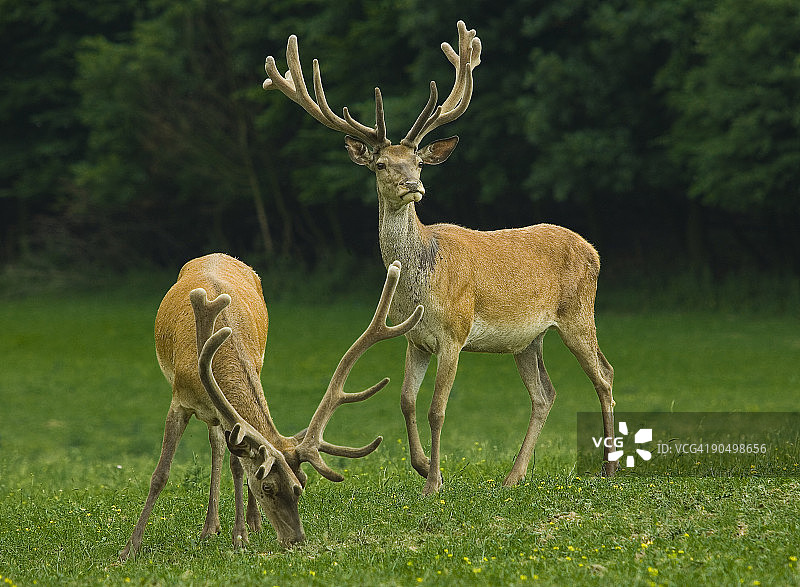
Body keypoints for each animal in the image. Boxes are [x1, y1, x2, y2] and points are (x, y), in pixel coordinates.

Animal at [119, 253, 423, 560]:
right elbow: (160, 474)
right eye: (268, 486)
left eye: (301, 484)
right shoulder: (179, 400)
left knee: (224, 450)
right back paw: (210, 527)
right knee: (217, 445)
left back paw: (240, 524)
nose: (296, 539)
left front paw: (240, 536)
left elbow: (238, 465)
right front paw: (130, 548)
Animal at [262, 20, 615, 495]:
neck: (420, 284)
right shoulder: (415, 338)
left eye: (417, 161)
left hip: (579, 313)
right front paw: (423, 465)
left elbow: (436, 409)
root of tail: (592, 249)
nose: (413, 185)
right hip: (528, 337)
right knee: (545, 393)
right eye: (380, 164)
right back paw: (514, 477)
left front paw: (434, 483)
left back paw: (608, 470)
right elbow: (406, 401)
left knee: (604, 375)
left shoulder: (454, 332)